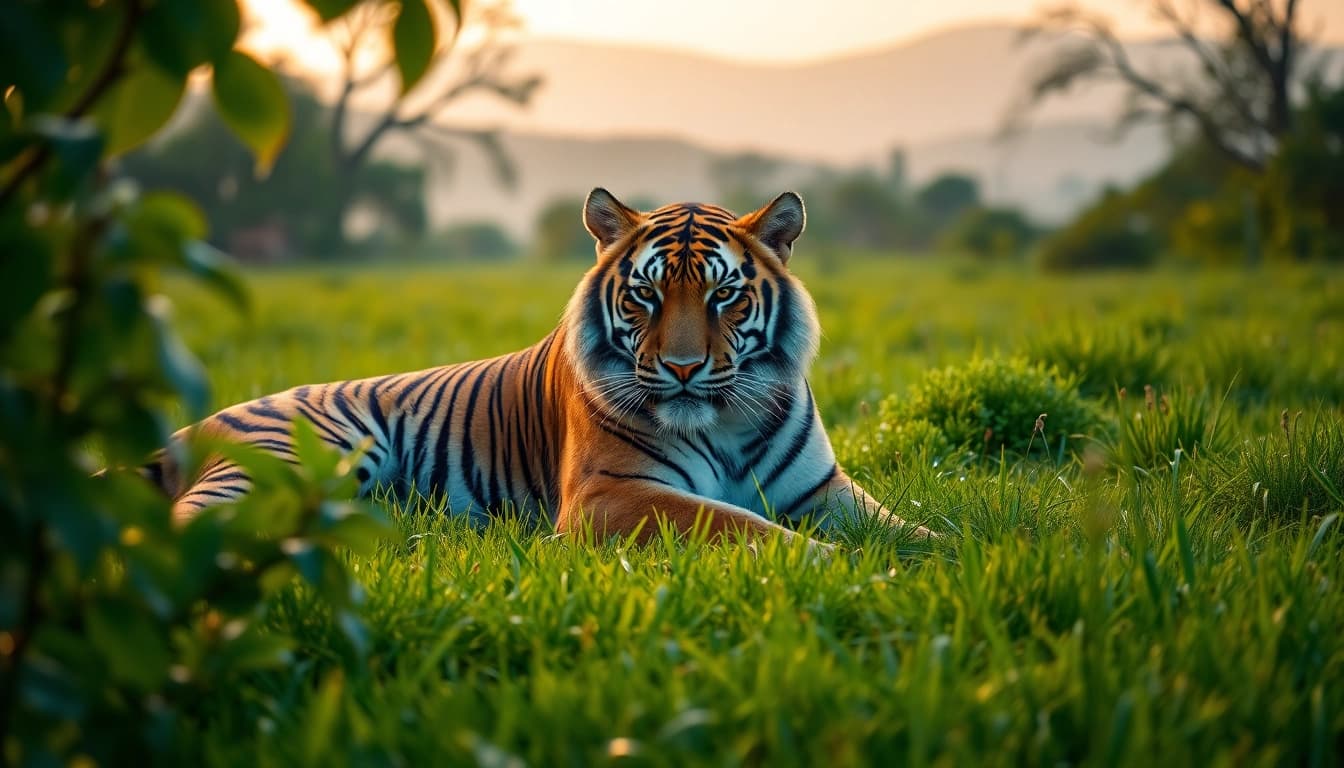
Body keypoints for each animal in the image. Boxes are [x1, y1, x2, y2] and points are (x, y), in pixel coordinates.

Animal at [144, 189, 934, 550]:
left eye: (724, 296)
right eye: (645, 295)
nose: (681, 368)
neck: (725, 421)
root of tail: (193, 424)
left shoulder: (825, 490)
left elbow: (910, 526)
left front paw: (951, 554)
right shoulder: (610, 494)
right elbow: (740, 524)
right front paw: (833, 565)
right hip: (299, 457)